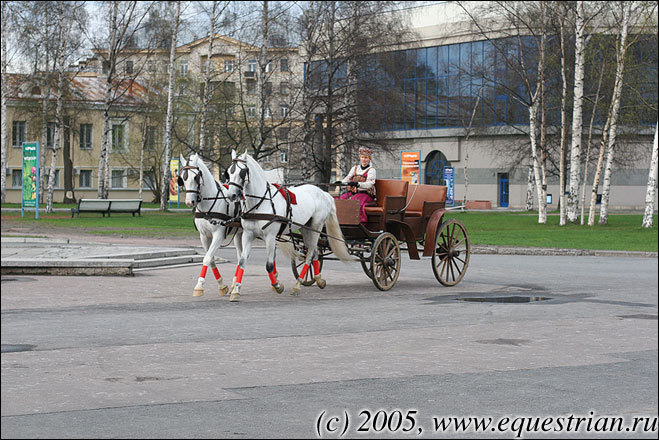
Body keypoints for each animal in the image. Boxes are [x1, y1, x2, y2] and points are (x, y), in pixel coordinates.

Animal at [224, 150, 354, 300]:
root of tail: (324, 193)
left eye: (242, 172)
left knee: (310, 253)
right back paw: (318, 279)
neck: (260, 203)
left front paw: (277, 286)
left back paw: (298, 284)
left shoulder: (270, 237)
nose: (231, 195)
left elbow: (269, 265)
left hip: (316, 226)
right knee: (314, 252)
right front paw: (235, 291)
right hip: (305, 228)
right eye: (229, 172)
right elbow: (242, 261)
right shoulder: (248, 235)